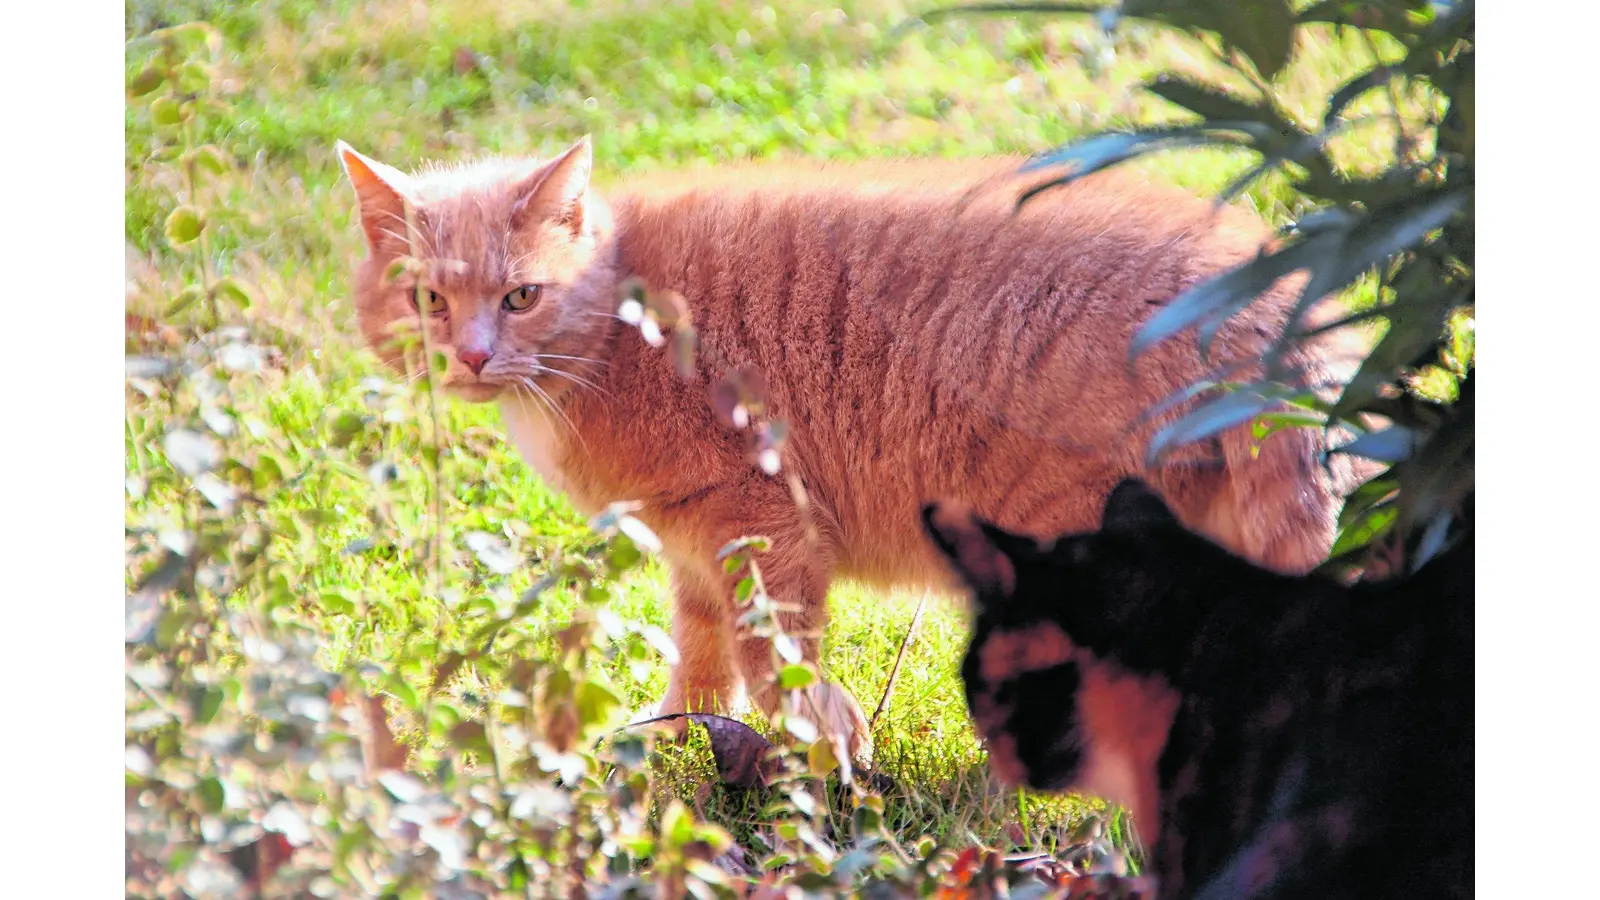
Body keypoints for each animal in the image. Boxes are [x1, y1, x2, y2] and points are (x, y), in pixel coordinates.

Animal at [334, 136, 1363, 759]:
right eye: (429, 299)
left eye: (519, 298)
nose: (472, 354)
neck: (615, 329)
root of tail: (1267, 298)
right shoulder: (690, 545)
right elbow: (700, 655)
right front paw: (676, 742)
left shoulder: (755, 515)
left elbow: (772, 648)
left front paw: (816, 736)